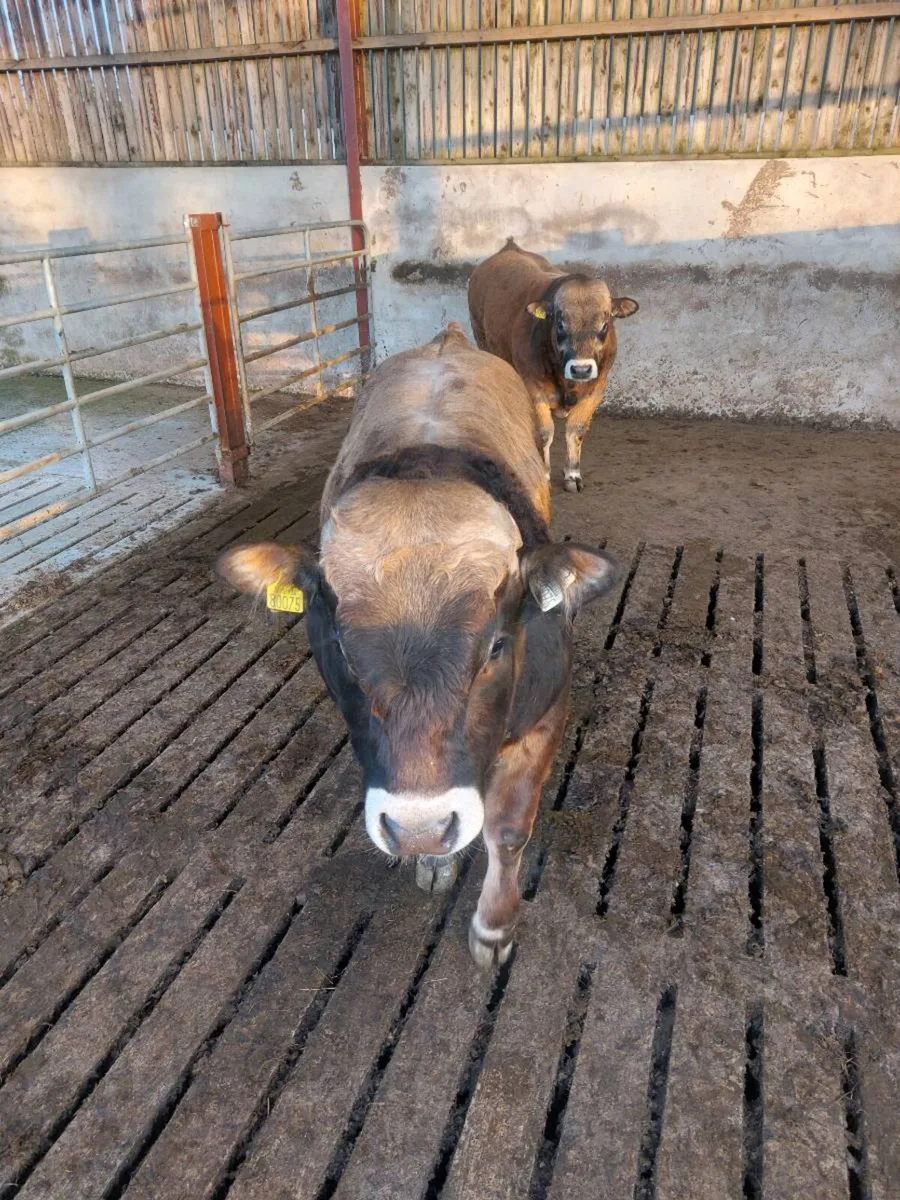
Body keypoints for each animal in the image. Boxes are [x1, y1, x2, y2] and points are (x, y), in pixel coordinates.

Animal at [218, 325, 618, 967]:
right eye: (341, 649)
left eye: (496, 647)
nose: (419, 829)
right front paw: (434, 860)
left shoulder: (547, 714)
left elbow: (507, 830)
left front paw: (493, 927)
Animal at [468, 238, 639, 494]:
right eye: (560, 324)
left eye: (604, 324)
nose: (581, 369)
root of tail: (509, 248)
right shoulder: (533, 388)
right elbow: (544, 433)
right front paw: (544, 474)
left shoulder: (597, 389)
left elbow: (576, 431)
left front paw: (572, 475)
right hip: (482, 338)